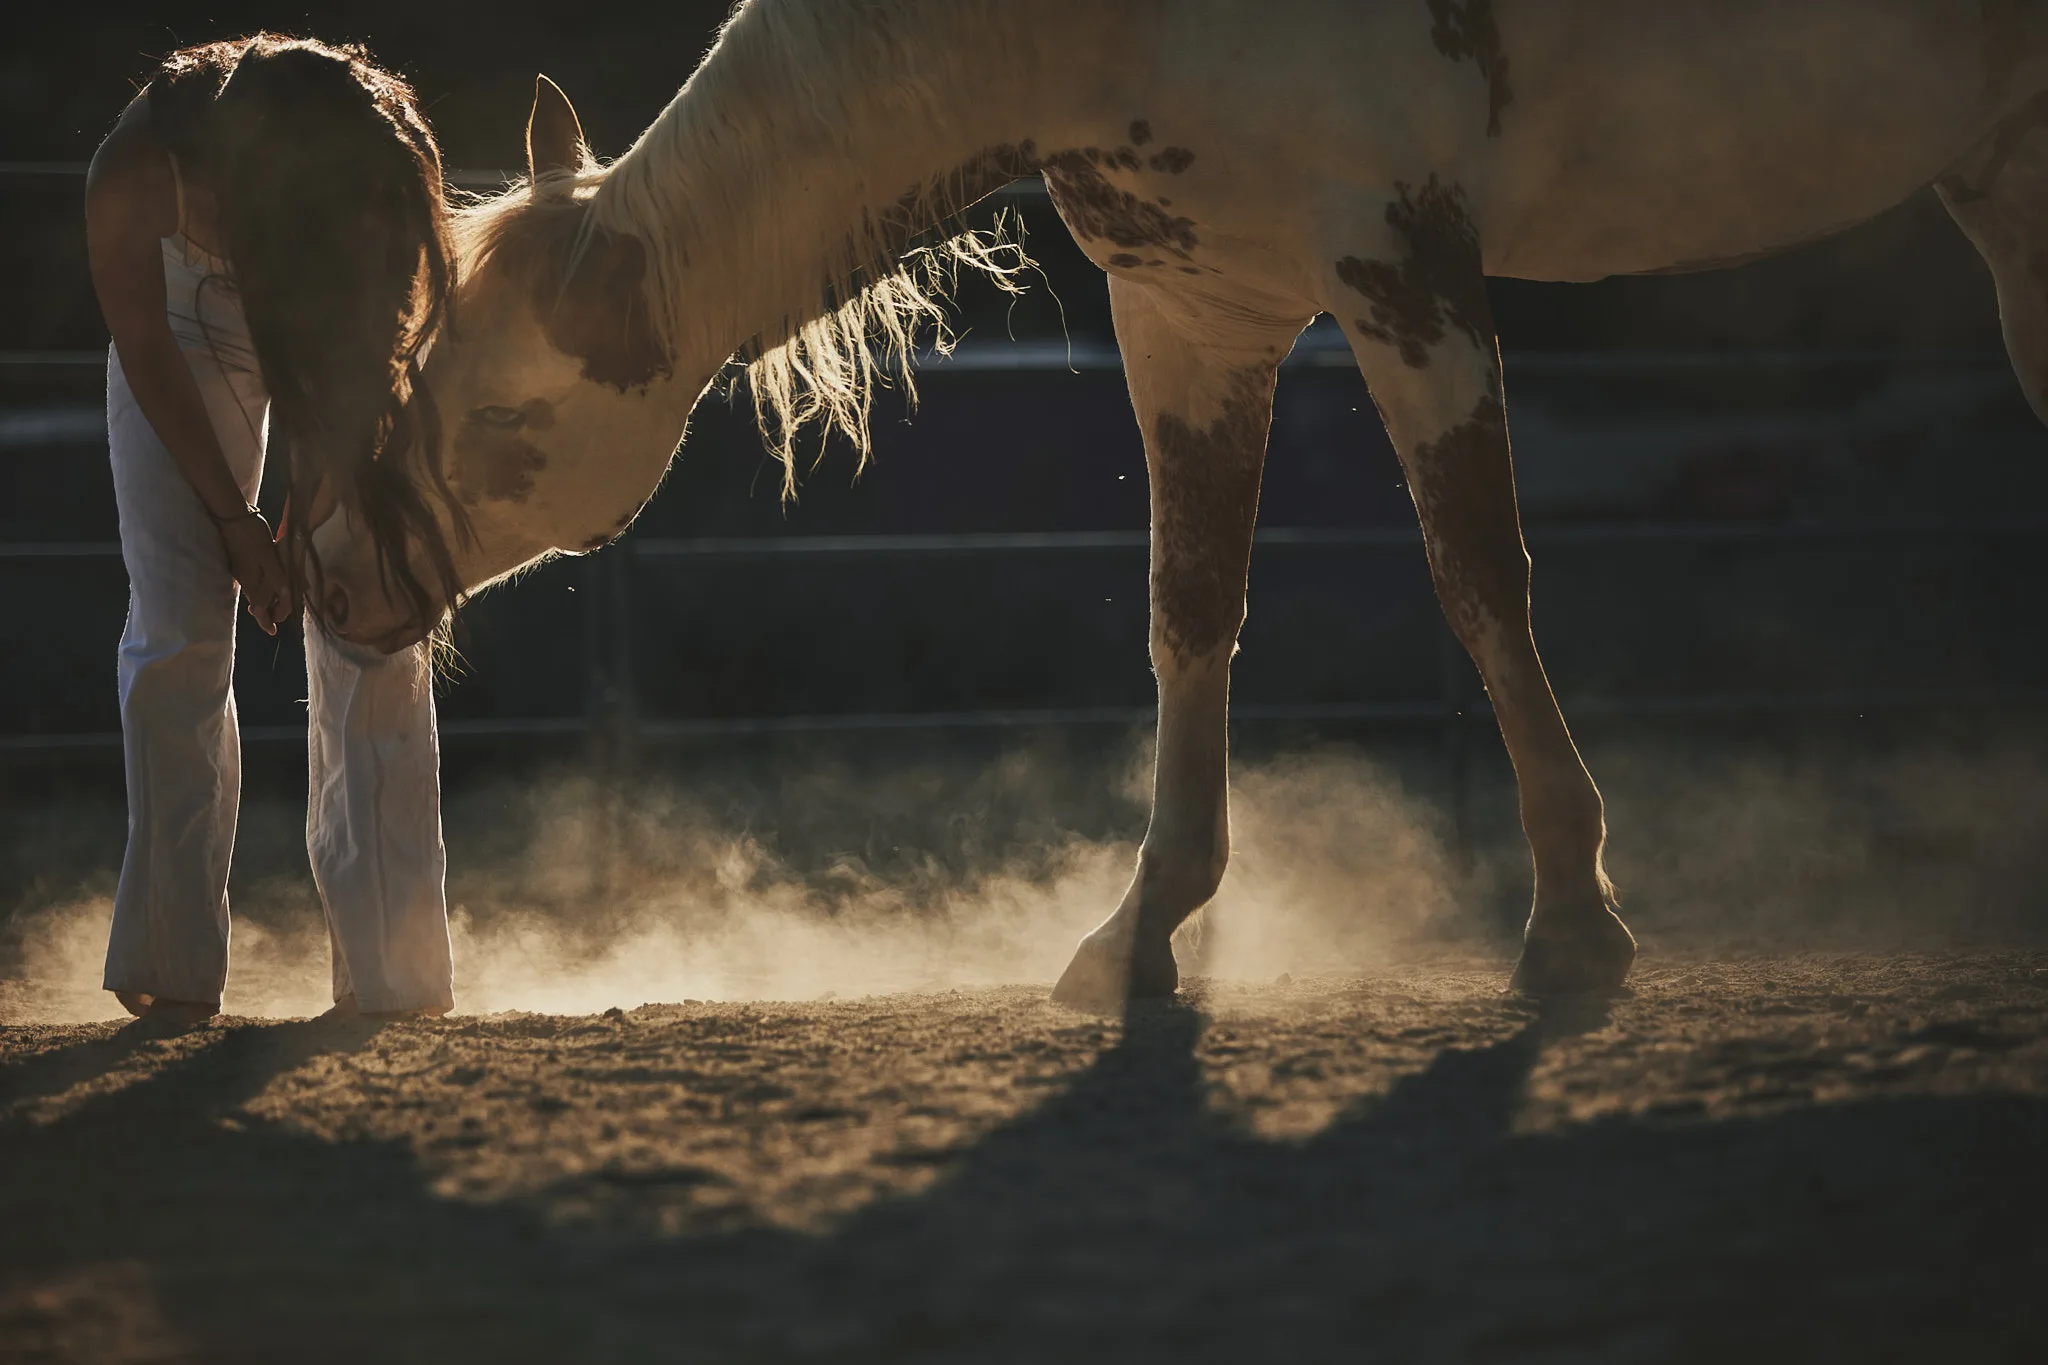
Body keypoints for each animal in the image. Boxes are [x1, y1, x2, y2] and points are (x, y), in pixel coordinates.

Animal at [305, 0, 2048, 1007]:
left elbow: (1480, 580)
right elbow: (1190, 609)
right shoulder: (1195, 309)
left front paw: (1571, 918)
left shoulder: (1403, 265)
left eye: (496, 412)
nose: (340, 576)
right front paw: (1142, 926)